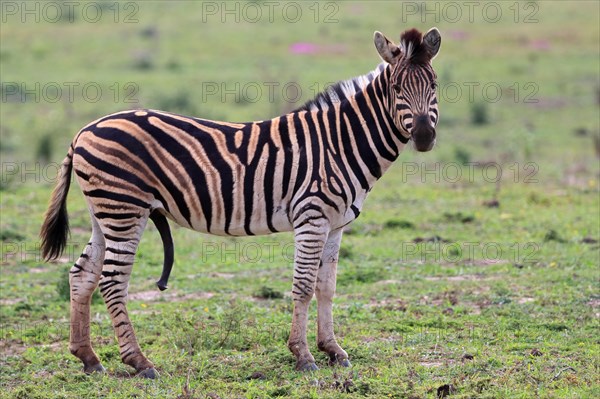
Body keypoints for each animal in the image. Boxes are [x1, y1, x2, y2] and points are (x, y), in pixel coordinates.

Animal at [38, 27, 440, 378]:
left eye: (434, 86)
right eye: (397, 88)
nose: (423, 136)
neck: (340, 142)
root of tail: (84, 131)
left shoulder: (336, 223)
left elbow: (326, 287)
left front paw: (333, 350)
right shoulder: (311, 218)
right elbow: (303, 285)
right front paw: (303, 355)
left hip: (104, 212)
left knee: (82, 274)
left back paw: (89, 358)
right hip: (124, 209)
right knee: (111, 281)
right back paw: (140, 362)